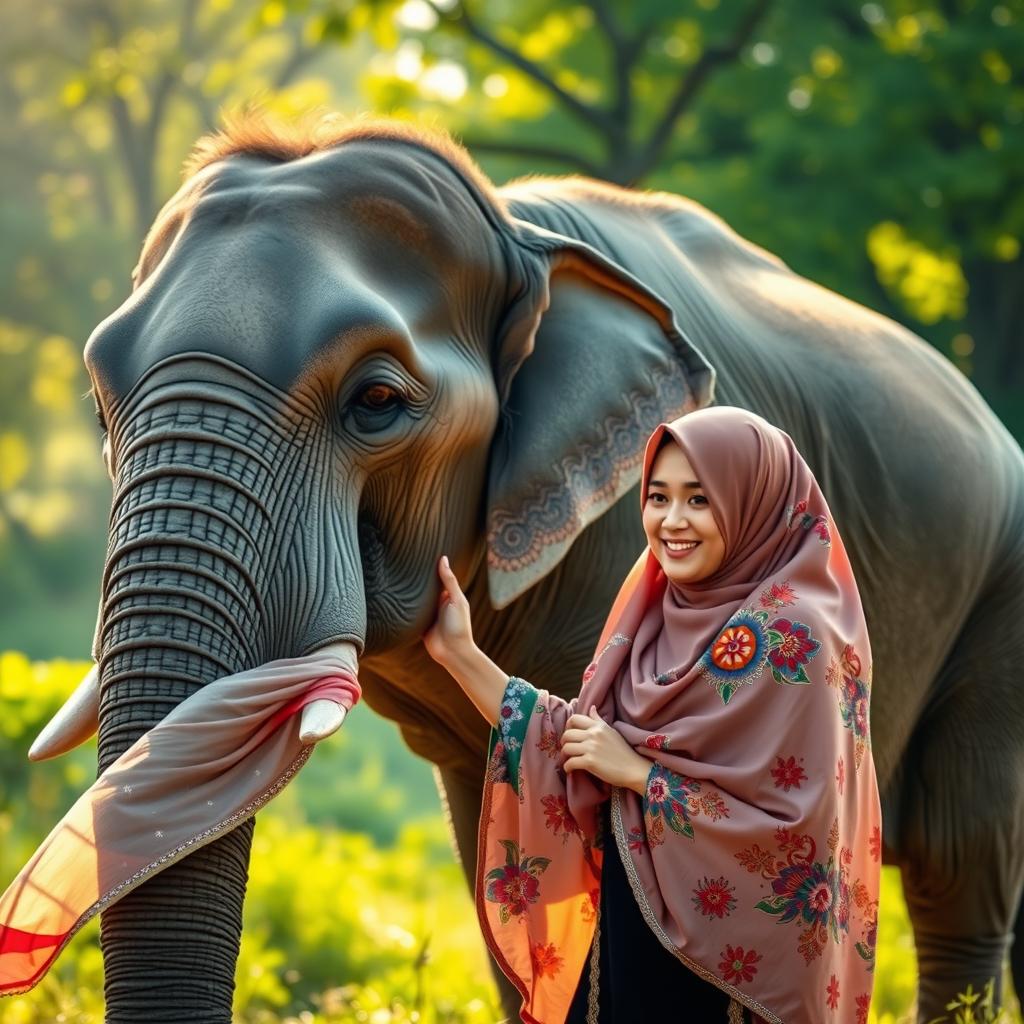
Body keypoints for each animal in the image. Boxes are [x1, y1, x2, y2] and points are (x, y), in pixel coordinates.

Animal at [32, 113, 1024, 1023]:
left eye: (377, 400)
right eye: (98, 402)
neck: (517, 235)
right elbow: (510, 838)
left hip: (998, 602)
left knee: (960, 865)